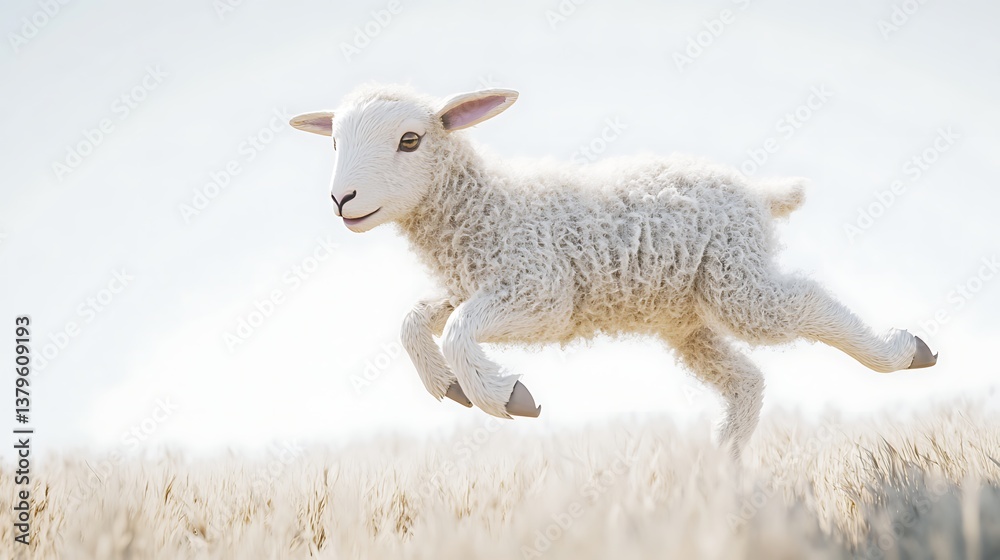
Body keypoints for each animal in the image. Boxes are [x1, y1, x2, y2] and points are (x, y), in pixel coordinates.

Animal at [290, 84, 938, 458]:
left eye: (410, 139)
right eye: (333, 143)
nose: (343, 200)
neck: (486, 207)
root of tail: (757, 191)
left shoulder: (540, 294)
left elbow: (456, 331)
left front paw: (504, 397)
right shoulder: (472, 285)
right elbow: (414, 321)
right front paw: (449, 386)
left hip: (736, 279)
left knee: (801, 302)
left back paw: (904, 352)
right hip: (685, 316)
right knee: (746, 379)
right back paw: (721, 470)